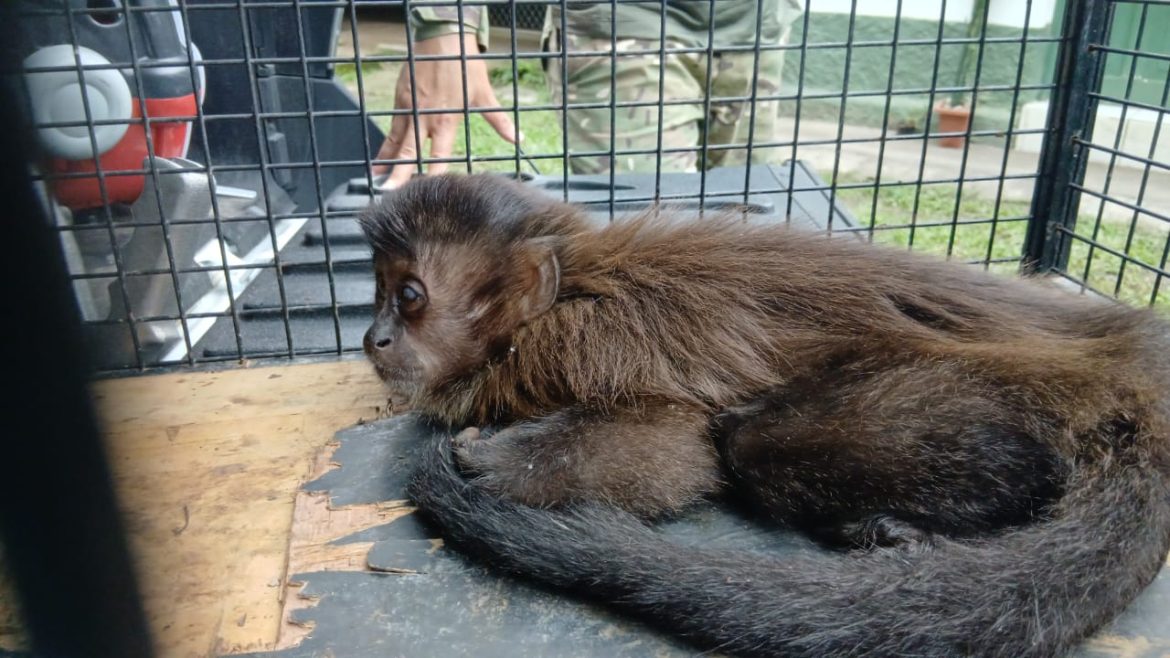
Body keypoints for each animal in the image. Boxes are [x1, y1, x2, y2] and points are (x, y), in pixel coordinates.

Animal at [359, 173, 1170, 657]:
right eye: (378, 294)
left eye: (409, 297)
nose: (373, 337)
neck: (561, 299)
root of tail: (1136, 365)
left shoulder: (592, 340)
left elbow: (680, 451)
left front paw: (495, 460)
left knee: (755, 442)